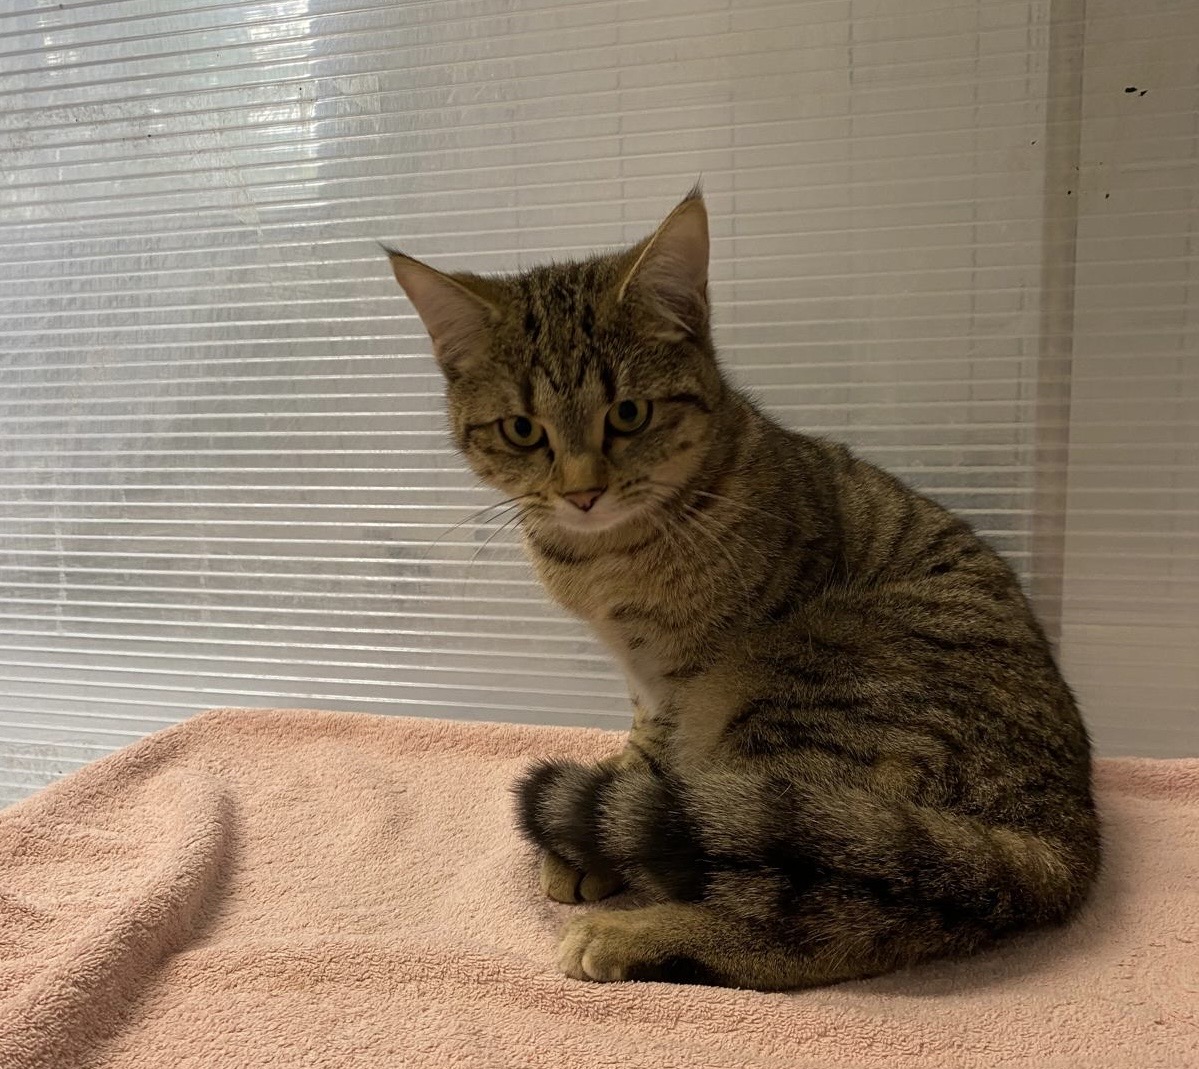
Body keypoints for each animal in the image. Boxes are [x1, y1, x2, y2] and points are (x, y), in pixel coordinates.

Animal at [385, 188, 1100, 991]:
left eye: (627, 413)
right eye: (521, 430)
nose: (582, 493)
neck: (603, 557)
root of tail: (1065, 839)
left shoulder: (692, 675)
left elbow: (667, 772)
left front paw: (602, 839)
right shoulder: (645, 683)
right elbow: (643, 751)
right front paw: (600, 824)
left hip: (802, 705)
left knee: (814, 919)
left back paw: (635, 933)